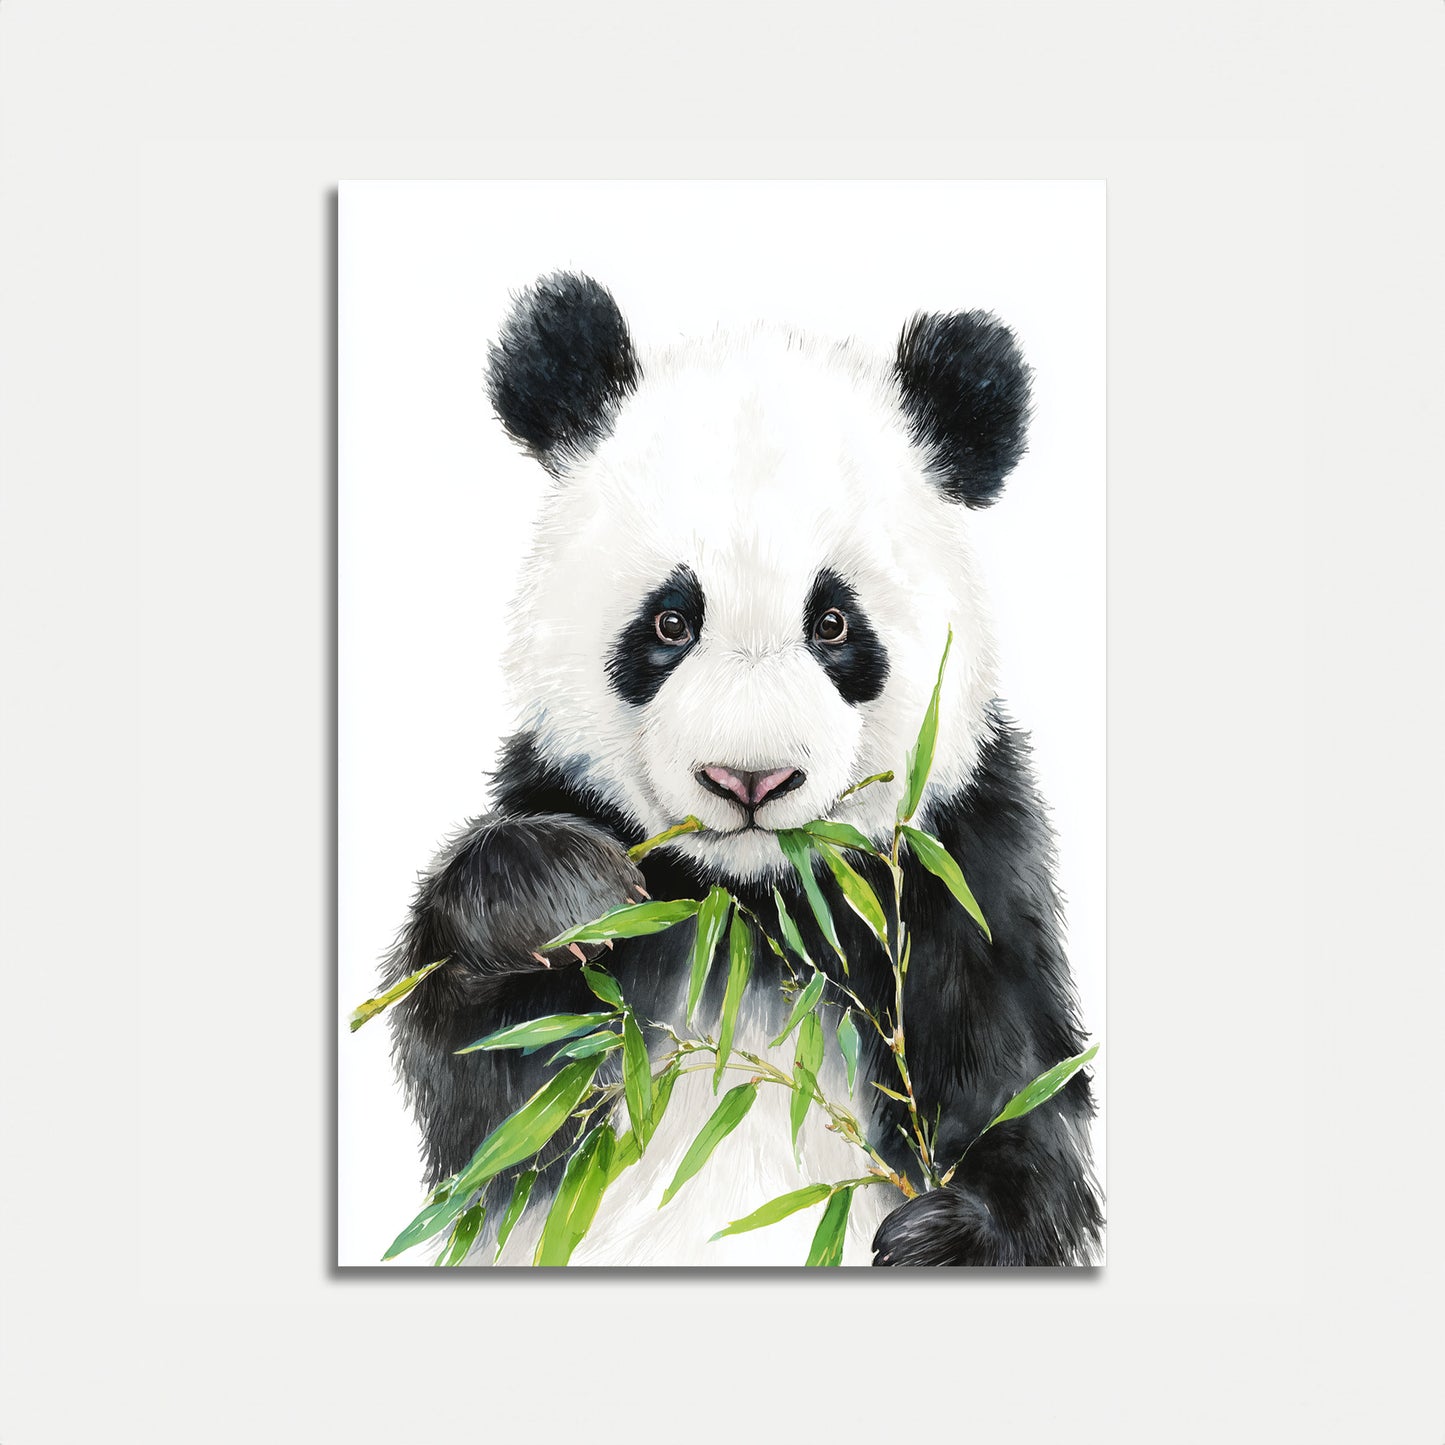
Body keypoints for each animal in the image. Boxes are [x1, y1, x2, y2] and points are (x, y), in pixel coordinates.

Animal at [381, 272, 1103, 1267]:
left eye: (833, 623)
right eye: (669, 621)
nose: (750, 780)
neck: (756, 905)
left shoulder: (961, 867)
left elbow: (1022, 1093)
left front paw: (941, 1235)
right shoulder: (564, 809)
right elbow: (498, 1104)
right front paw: (561, 897)